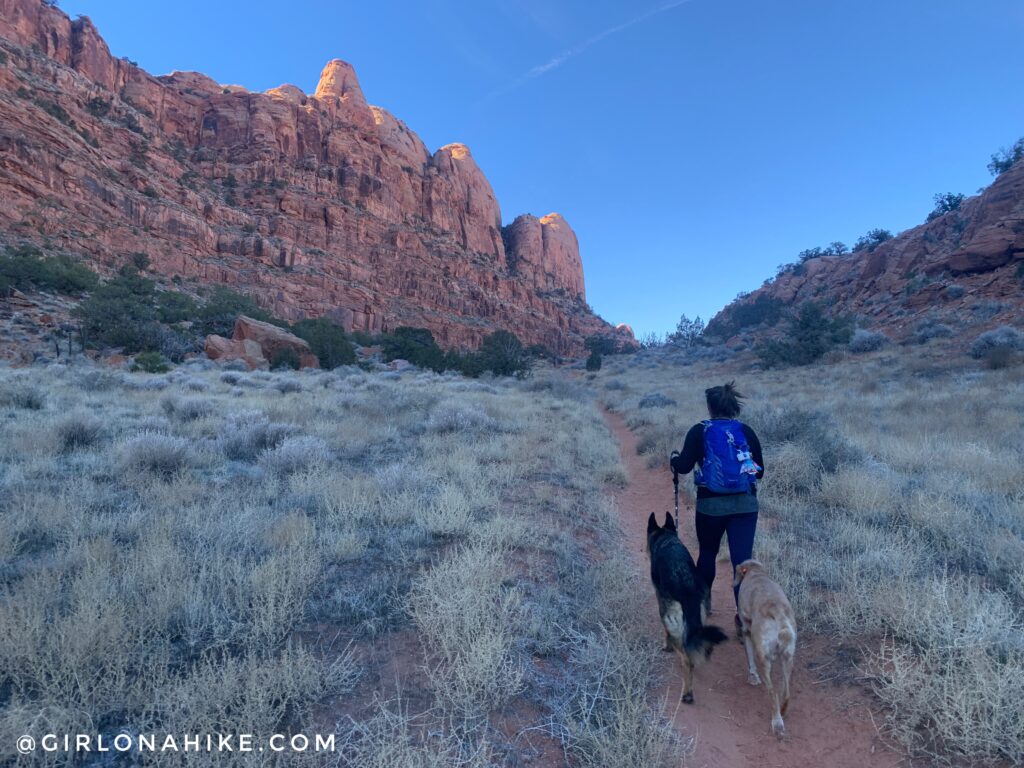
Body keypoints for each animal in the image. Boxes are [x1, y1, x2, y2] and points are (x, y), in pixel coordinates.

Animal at [647, 512, 729, 704]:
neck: (666, 539)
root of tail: (688, 588)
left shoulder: (660, 599)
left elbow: (666, 633)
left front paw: (667, 646)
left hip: (669, 616)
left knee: (686, 658)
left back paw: (687, 693)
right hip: (701, 613)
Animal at [733, 561, 794, 741]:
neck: (756, 572)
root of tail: (777, 612)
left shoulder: (746, 630)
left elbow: (749, 658)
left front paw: (752, 677)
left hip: (764, 659)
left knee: (773, 693)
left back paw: (777, 724)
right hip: (788, 657)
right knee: (785, 691)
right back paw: (783, 711)